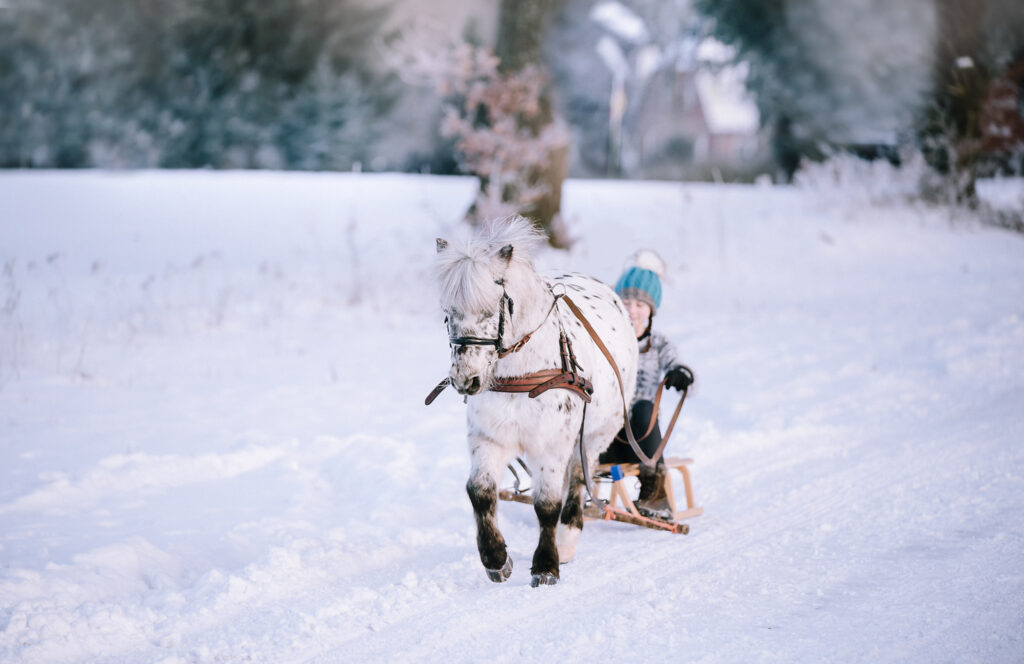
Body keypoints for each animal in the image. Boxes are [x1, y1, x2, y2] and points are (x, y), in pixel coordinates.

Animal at [430, 218, 634, 586]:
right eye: (447, 312)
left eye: (489, 309)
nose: (465, 380)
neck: (522, 374)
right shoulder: (490, 438)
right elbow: (480, 491)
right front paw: (496, 559)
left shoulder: (551, 446)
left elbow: (547, 504)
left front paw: (546, 565)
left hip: (595, 435)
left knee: (578, 480)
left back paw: (567, 540)